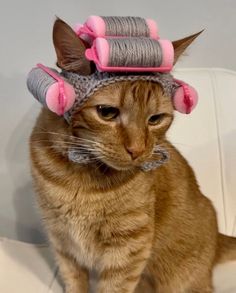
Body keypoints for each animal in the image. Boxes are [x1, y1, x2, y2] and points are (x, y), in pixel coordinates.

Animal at [29, 18, 236, 292]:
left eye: (155, 119)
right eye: (107, 112)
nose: (137, 150)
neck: (82, 175)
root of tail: (217, 238)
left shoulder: (128, 248)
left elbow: (113, 287)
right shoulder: (62, 241)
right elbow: (74, 279)